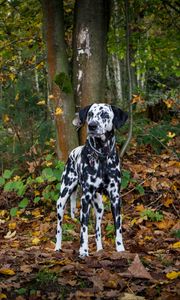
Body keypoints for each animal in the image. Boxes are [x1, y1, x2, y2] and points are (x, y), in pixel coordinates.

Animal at [55, 104, 127, 256]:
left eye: (105, 114)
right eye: (90, 114)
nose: (92, 125)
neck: (102, 157)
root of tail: (73, 151)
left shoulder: (115, 198)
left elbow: (118, 228)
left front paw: (120, 249)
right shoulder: (85, 199)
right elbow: (84, 229)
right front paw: (83, 251)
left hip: (99, 207)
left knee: (97, 229)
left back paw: (100, 249)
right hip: (62, 199)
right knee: (59, 227)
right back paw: (57, 248)